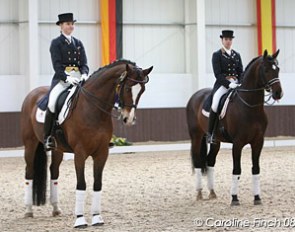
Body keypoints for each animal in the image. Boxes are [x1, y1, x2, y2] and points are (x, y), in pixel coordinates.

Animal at [20, 59, 154, 228]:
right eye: (128, 87)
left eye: (142, 90)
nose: (128, 119)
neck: (93, 109)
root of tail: (33, 93)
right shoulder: (80, 153)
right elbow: (81, 184)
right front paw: (80, 220)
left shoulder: (102, 153)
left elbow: (97, 184)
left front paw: (97, 218)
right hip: (30, 143)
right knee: (29, 172)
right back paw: (28, 210)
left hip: (58, 149)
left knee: (54, 171)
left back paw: (56, 208)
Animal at [187, 49, 284, 206]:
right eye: (266, 69)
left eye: (278, 69)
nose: (278, 93)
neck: (250, 107)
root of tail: (195, 95)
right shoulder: (238, 143)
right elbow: (237, 170)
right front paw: (234, 198)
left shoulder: (258, 142)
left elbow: (256, 169)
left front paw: (257, 198)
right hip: (196, 136)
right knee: (197, 161)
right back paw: (199, 193)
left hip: (216, 141)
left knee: (210, 161)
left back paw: (212, 192)